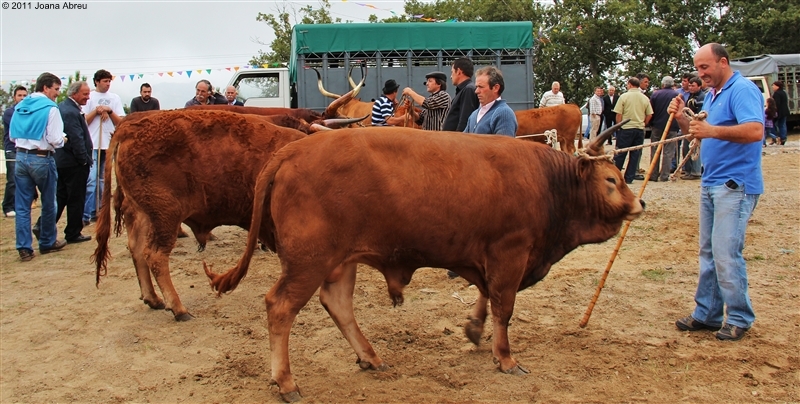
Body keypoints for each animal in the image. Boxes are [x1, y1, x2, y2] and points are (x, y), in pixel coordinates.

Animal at [91, 109, 310, 320]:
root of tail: (129, 129)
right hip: (165, 216)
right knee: (155, 255)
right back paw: (179, 309)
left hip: (144, 214)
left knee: (136, 249)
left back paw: (152, 298)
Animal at [205, 121, 644, 400]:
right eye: (611, 180)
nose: (640, 204)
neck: (548, 182)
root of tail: (294, 148)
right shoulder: (511, 252)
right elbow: (504, 307)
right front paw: (505, 357)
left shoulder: (487, 256)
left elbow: (486, 296)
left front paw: (474, 328)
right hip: (307, 261)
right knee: (280, 307)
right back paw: (286, 382)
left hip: (338, 260)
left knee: (339, 305)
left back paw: (370, 357)